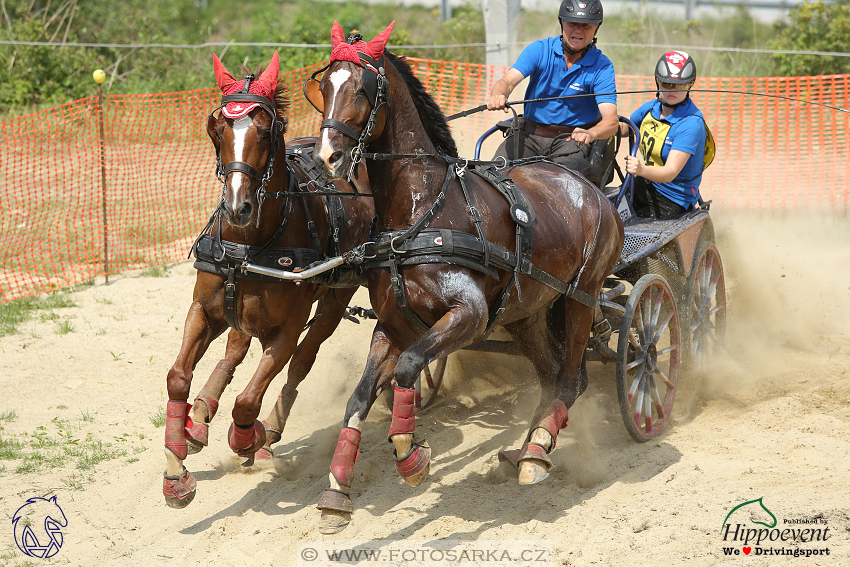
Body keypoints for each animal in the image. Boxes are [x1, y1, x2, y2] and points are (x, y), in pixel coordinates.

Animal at [162, 52, 374, 510]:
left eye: (265, 130)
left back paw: (268, 430)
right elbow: (177, 377)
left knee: (301, 363)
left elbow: (248, 401)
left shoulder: (286, 331)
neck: (251, 243)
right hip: (237, 311)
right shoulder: (203, 310)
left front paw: (250, 437)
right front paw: (175, 471)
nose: (237, 206)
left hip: (334, 301)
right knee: (234, 349)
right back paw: (200, 415)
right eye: (219, 128)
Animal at [308, 22, 628, 536]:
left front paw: (410, 456)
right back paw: (526, 449)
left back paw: (537, 452)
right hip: (527, 315)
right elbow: (358, 399)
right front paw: (336, 493)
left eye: (363, 88)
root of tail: (595, 193)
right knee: (555, 376)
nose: (327, 157)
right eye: (325, 87)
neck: (421, 210)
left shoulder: (469, 314)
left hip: (581, 298)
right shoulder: (393, 325)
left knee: (570, 379)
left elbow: (407, 368)